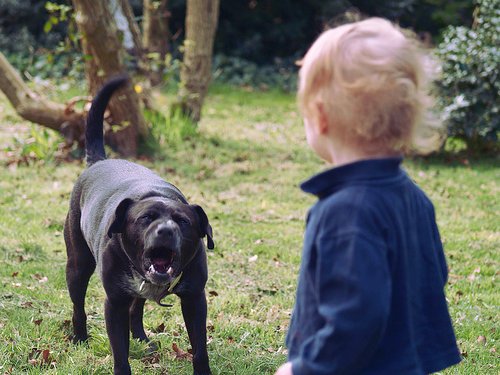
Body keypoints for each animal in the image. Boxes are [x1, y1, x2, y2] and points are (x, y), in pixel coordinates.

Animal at [64, 77, 213, 375]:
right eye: (145, 218)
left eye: (183, 221)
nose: (165, 230)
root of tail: (99, 161)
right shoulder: (115, 303)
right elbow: (119, 352)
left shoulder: (194, 299)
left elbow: (200, 347)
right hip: (77, 265)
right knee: (78, 306)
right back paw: (80, 337)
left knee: (138, 309)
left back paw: (142, 338)